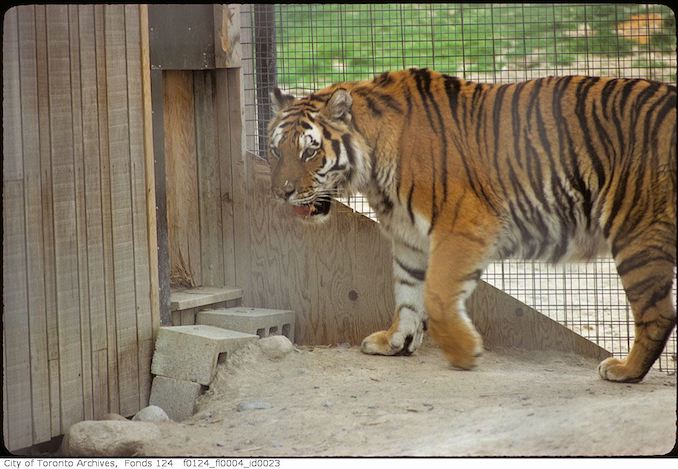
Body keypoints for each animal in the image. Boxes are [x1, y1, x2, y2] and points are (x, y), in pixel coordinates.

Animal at [268, 67, 676, 382]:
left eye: (310, 151)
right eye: (276, 150)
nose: (281, 192)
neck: (373, 171)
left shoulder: (463, 225)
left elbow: (436, 296)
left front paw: (466, 353)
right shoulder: (409, 240)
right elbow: (407, 294)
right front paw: (395, 342)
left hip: (637, 232)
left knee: (658, 314)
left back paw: (625, 371)